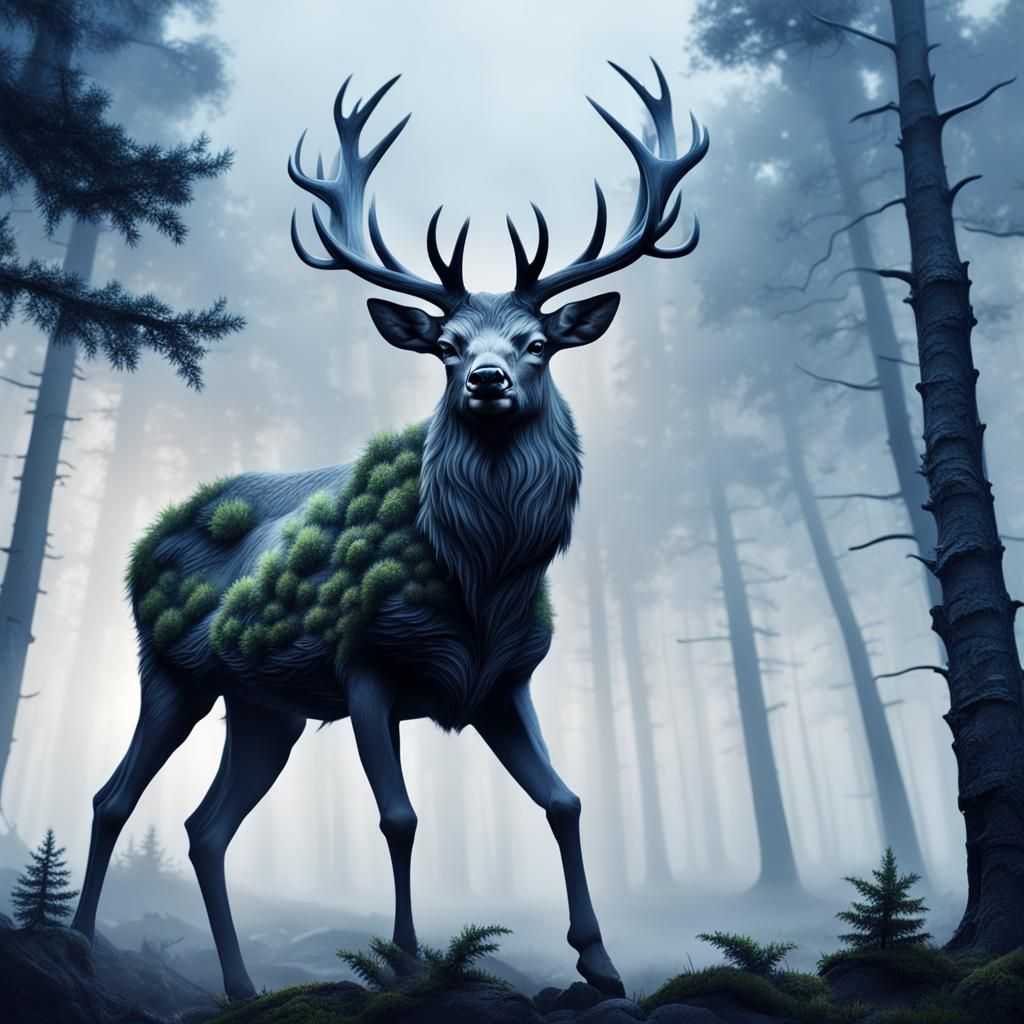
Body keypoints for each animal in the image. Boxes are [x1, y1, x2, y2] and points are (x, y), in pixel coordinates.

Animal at [70, 60, 708, 1001]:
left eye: (537, 342)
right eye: (446, 344)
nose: (485, 380)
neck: (480, 581)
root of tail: (142, 545)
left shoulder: (505, 681)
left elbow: (565, 799)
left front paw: (600, 962)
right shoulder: (364, 663)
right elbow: (399, 817)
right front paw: (407, 962)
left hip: (263, 709)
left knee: (203, 825)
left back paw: (243, 986)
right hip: (170, 671)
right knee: (113, 797)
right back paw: (76, 941)